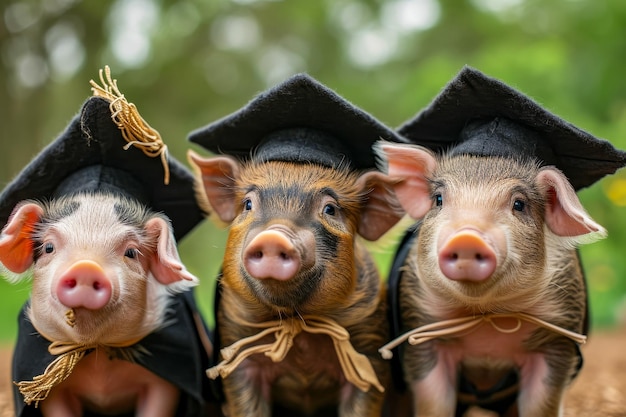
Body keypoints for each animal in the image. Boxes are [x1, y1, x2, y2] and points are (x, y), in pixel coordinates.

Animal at [0, 192, 197, 416]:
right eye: (49, 247)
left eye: (131, 252)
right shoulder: (53, 393)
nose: (86, 267)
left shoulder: (163, 383)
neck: (98, 357)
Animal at [185, 73, 404, 414]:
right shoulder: (236, 353)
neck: (294, 325)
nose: (274, 236)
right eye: (248, 204)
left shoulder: (369, 352)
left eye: (330, 209)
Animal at [372, 66, 624, 414]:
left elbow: (542, 404)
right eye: (438, 200)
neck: (487, 319)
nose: (467, 237)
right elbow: (433, 402)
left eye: (519, 204)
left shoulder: (558, 338)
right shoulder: (421, 331)